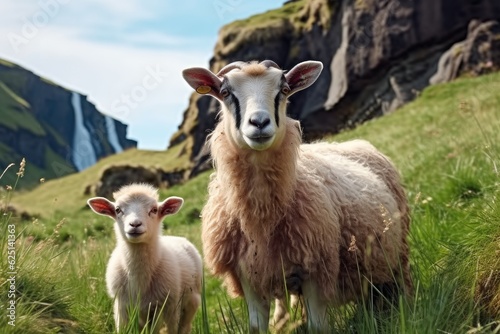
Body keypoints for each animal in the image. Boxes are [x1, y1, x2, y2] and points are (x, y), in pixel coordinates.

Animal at [87, 184, 201, 332]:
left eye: (154, 210)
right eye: (118, 210)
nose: (135, 224)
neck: (139, 279)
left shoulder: (159, 307)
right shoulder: (121, 307)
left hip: (188, 302)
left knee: (182, 326)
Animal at [182, 59, 412, 332]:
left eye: (283, 90)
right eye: (226, 92)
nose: (259, 123)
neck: (261, 220)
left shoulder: (315, 267)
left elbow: (317, 326)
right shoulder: (248, 275)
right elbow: (256, 327)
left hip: (399, 244)